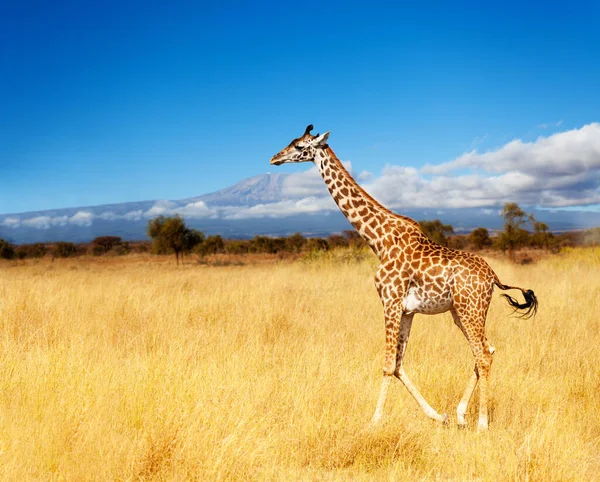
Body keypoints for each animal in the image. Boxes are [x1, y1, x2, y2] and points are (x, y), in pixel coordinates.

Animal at [270, 123, 536, 430]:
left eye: (300, 147)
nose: (274, 158)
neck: (379, 241)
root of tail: (492, 275)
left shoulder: (390, 300)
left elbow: (387, 365)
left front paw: (373, 422)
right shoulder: (407, 310)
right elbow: (398, 364)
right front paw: (438, 415)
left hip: (471, 309)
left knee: (482, 355)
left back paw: (481, 423)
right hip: (462, 312)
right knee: (487, 350)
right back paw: (459, 414)